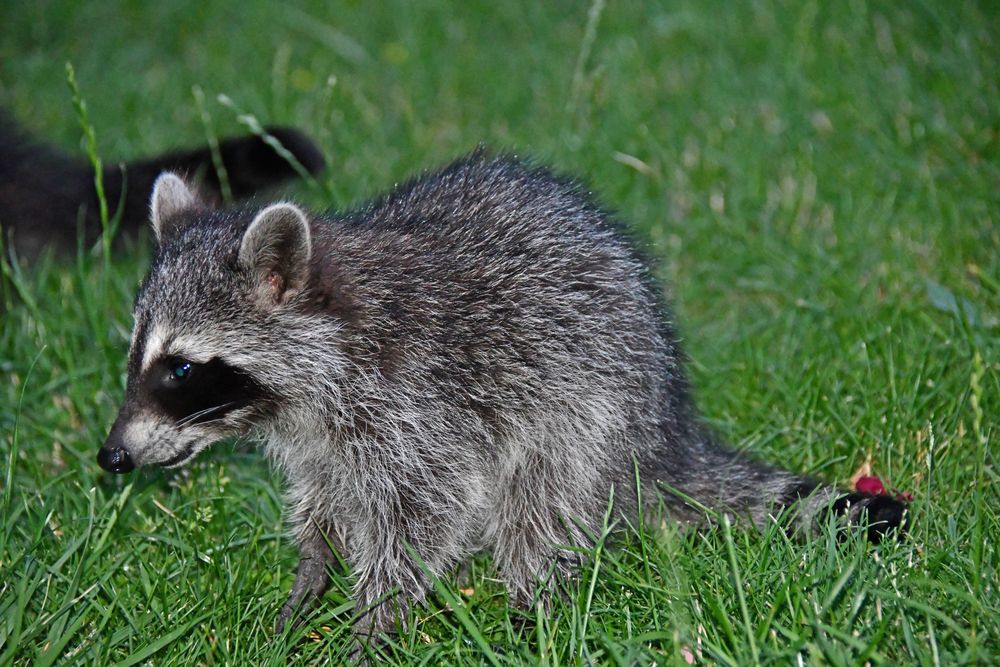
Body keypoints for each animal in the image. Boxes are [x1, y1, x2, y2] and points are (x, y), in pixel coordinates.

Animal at [97, 153, 912, 648]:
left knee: (539, 503)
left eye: (181, 368)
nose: (111, 457)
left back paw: (531, 606)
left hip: (590, 405)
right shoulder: (323, 440)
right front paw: (310, 582)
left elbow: (423, 514)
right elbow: (325, 508)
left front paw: (373, 623)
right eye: (137, 355)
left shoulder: (418, 403)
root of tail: (667, 421)